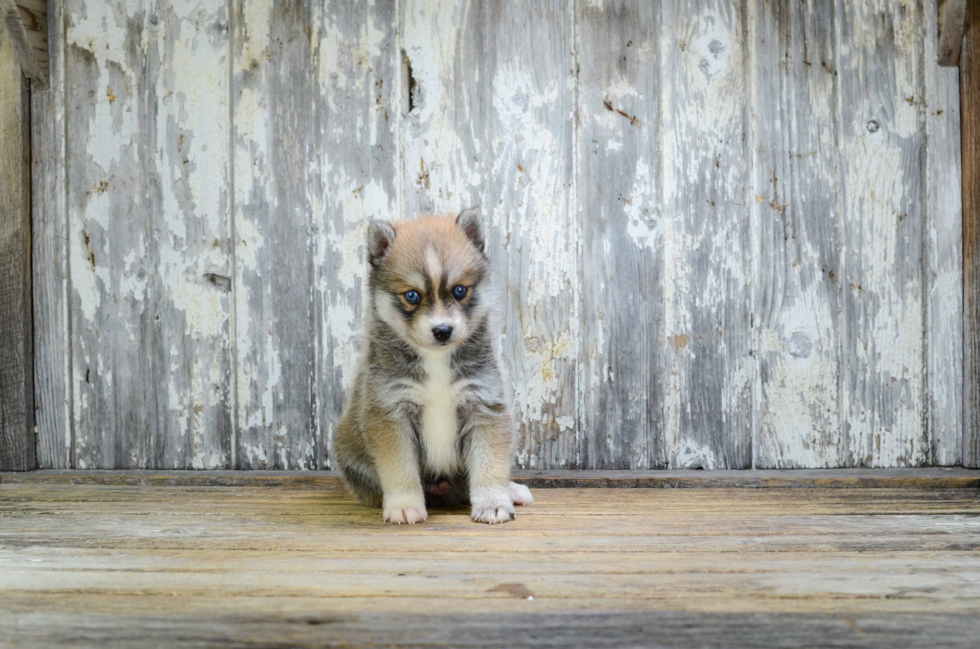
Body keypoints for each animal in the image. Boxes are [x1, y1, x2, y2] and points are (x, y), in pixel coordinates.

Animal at [334, 210, 536, 524]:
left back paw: (511, 490)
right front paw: (404, 504)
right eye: (412, 295)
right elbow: (399, 468)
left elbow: (489, 464)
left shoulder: (484, 404)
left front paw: (493, 501)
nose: (442, 330)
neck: (436, 359)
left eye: (460, 290)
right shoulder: (391, 411)